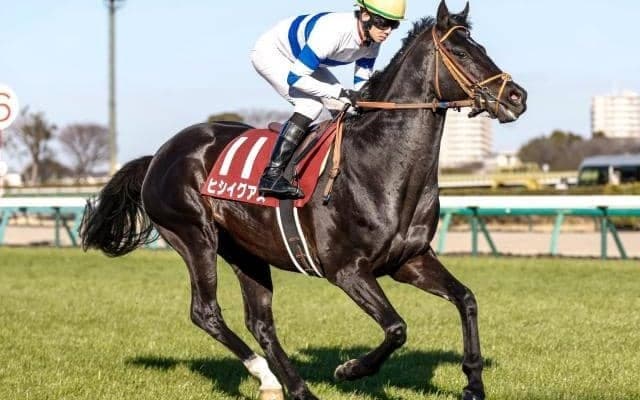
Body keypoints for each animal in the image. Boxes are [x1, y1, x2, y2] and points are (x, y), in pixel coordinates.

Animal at [80, 2, 527, 399]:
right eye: (461, 52)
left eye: (481, 48)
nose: (517, 97)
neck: (380, 164)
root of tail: (158, 155)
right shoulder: (346, 270)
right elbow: (397, 328)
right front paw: (350, 369)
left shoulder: (410, 260)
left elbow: (466, 299)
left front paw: (473, 383)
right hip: (193, 236)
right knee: (205, 312)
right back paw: (269, 376)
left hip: (245, 251)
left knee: (260, 322)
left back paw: (287, 386)